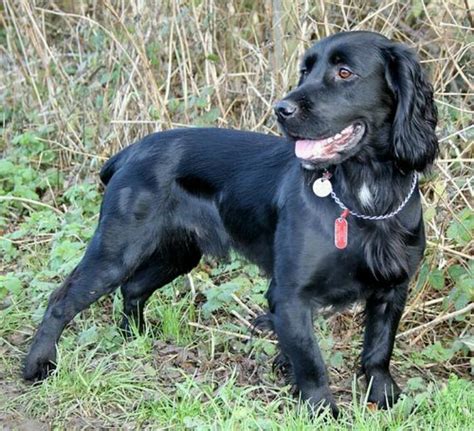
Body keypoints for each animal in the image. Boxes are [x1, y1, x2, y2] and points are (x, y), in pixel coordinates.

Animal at [22, 32, 436, 416]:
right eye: (305, 71)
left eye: (344, 72)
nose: (281, 109)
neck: (364, 192)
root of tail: (131, 151)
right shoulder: (291, 294)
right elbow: (312, 363)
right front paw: (322, 410)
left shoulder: (392, 287)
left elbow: (378, 351)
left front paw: (386, 398)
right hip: (117, 250)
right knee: (62, 299)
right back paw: (38, 365)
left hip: (178, 253)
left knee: (134, 289)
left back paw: (136, 338)